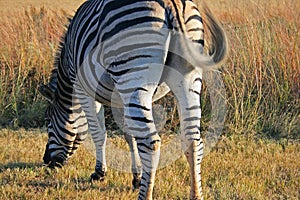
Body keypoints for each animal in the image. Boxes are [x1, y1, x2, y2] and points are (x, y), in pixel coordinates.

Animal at [38, 0, 229, 199]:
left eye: (49, 123)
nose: (46, 161)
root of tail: (171, 3)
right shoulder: (120, 97)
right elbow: (130, 136)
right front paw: (137, 177)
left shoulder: (84, 88)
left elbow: (99, 133)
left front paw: (99, 173)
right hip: (187, 78)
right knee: (192, 139)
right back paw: (196, 194)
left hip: (134, 74)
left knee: (151, 143)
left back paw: (145, 195)